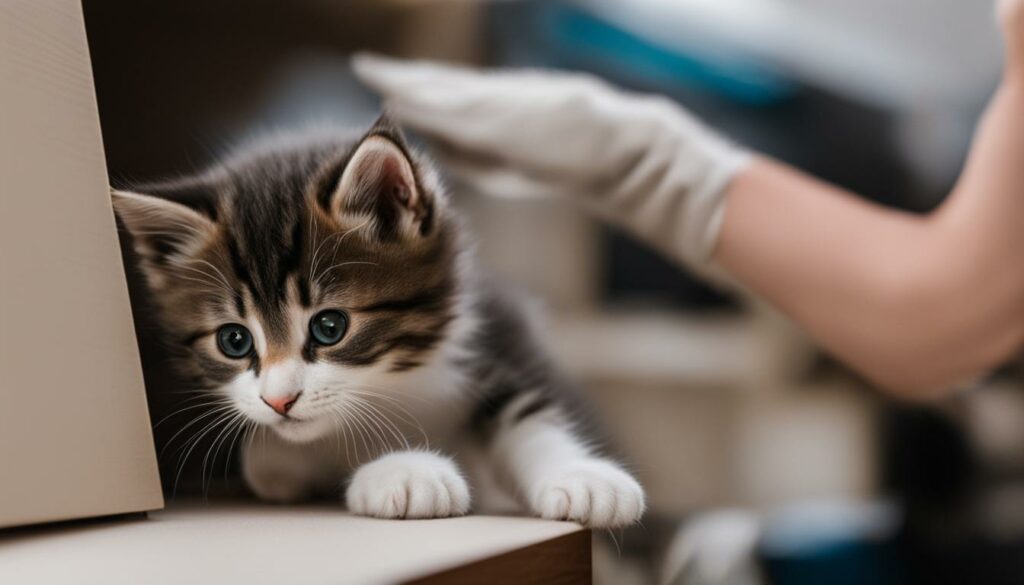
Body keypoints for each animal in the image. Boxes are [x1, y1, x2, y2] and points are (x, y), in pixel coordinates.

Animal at [116, 114, 643, 524]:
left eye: (330, 327)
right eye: (234, 340)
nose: (279, 401)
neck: (396, 383)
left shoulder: (492, 331)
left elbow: (526, 412)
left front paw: (580, 476)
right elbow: (273, 458)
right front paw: (407, 470)